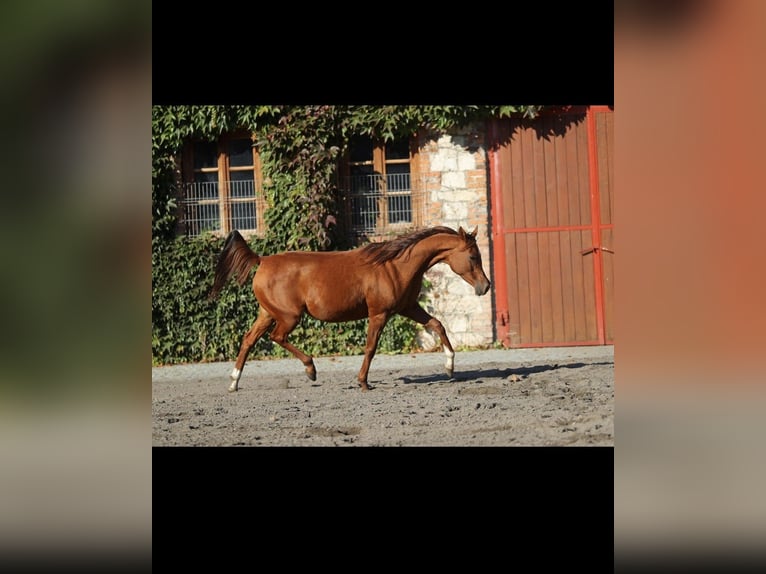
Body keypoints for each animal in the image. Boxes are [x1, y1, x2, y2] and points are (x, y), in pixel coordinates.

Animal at [208, 225, 491, 392]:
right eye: (473, 256)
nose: (485, 286)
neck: (394, 265)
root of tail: (262, 260)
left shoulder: (408, 307)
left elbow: (437, 325)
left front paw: (450, 367)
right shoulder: (379, 314)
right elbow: (371, 348)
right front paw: (363, 382)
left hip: (267, 313)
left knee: (248, 340)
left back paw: (234, 382)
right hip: (289, 317)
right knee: (277, 337)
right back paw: (311, 370)